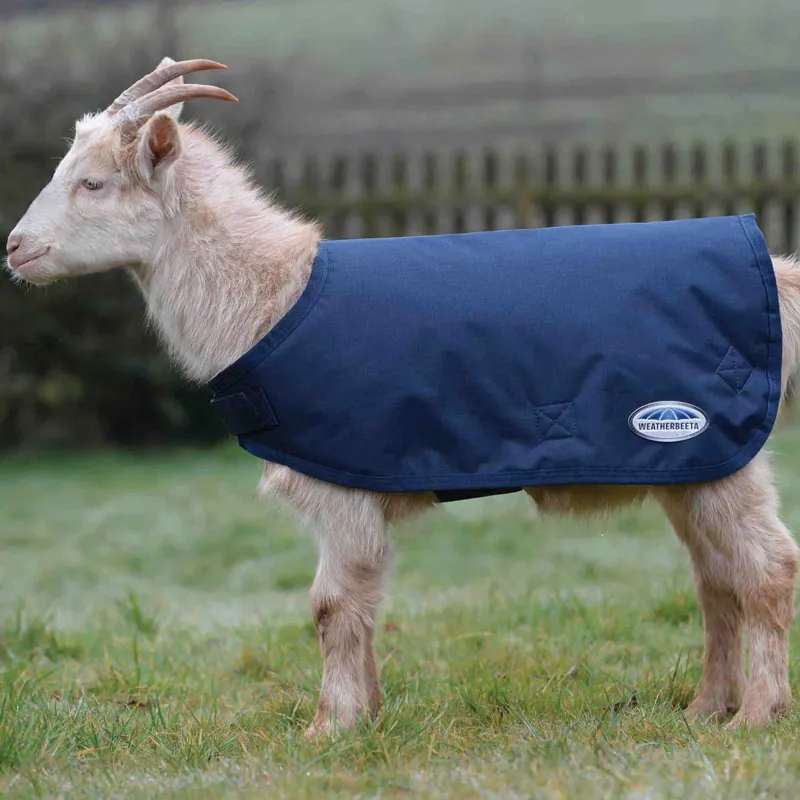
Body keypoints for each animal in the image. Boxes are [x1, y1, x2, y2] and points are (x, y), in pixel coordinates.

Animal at [6, 58, 800, 737]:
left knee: (767, 570)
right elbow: (364, 604)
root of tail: (775, 273)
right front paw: (369, 714)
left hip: (718, 452)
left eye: (93, 183)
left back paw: (756, 716)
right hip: (692, 466)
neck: (274, 298)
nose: (15, 249)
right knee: (716, 581)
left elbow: (331, 607)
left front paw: (327, 729)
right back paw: (705, 708)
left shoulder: (342, 485)